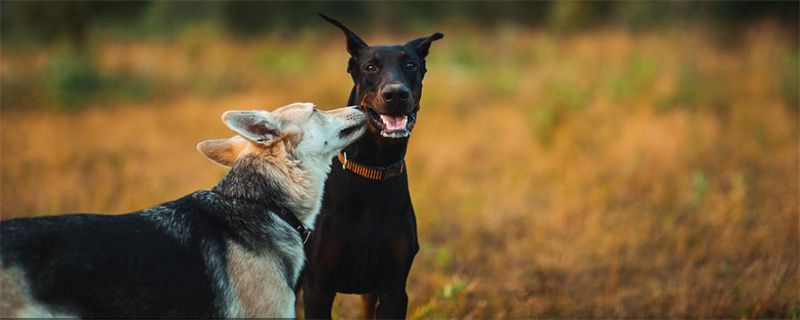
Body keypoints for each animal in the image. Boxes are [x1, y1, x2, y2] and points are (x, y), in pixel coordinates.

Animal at [302, 13, 444, 318]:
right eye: (370, 67)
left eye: (410, 65)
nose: (396, 94)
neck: (373, 172)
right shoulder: (318, 287)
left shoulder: (394, 287)